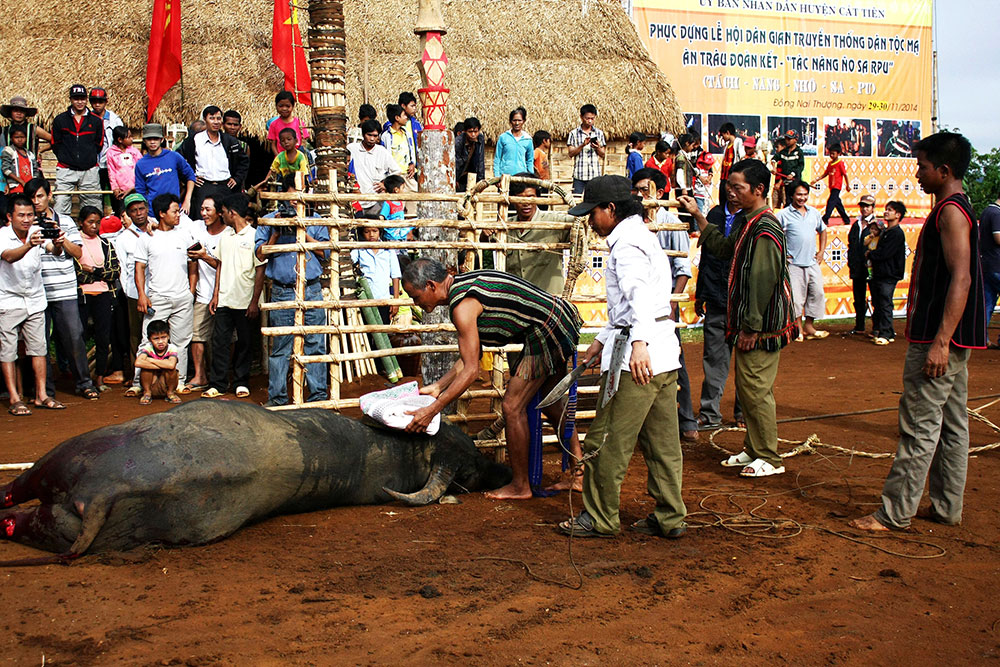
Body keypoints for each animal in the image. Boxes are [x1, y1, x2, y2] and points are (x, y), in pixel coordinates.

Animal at [0, 400, 512, 568]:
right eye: (468, 469)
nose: (503, 472)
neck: (393, 452)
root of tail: (102, 492)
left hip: (49, 476)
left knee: (13, 506)